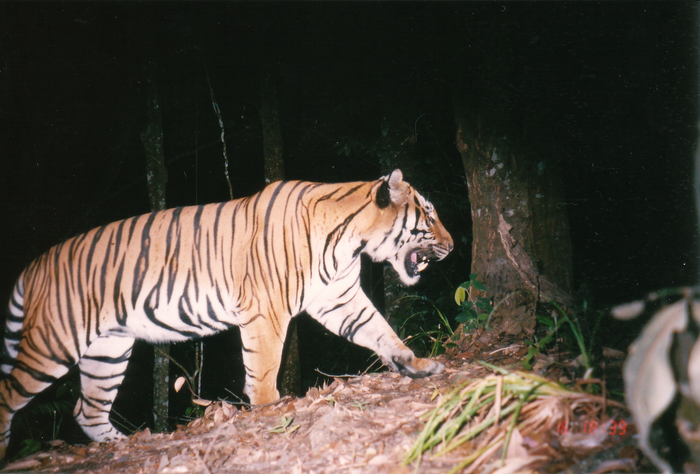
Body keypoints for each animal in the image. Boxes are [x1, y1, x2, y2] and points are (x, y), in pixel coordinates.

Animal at [0, 169, 452, 459]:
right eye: (429, 214)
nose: (451, 246)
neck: (350, 241)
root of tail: (33, 266)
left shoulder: (338, 299)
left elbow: (380, 330)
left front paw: (415, 364)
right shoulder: (267, 311)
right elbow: (263, 367)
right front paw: (272, 410)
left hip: (108, 350)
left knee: (87, 409)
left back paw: (125, 445)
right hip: (54, 344)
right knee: (9, 393)